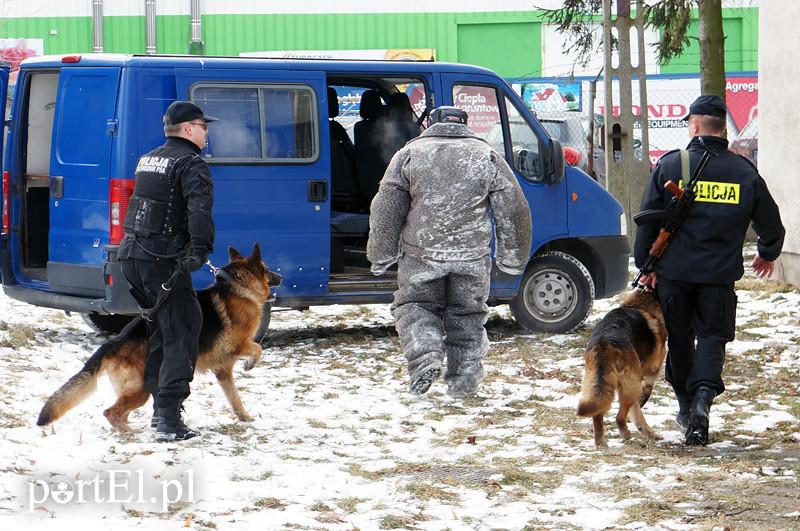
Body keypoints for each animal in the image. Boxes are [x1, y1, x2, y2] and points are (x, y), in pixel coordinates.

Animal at [36, 245, 282, 432]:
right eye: (267, 269)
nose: (281, 276)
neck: (239, 288)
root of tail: (113, 343)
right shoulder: (236, 344)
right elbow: (257, 349)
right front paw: (250, 364)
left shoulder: (223, 370)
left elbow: (234, 398)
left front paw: (244, 417)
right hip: (140, 389)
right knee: (111, 412)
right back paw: (130, 433)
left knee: (119, 413)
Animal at [580, 290, 664, 448]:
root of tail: (605, 344)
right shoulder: (653, 368)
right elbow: (647, 389)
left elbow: (636, 411)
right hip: (629, 386)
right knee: (619, 417)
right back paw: (625, 434)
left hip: (599, 385)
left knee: (598, 414)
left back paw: (601, 443)